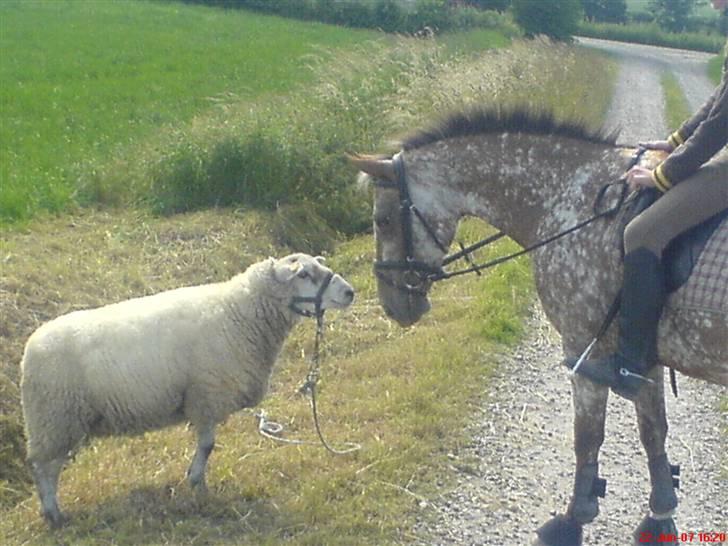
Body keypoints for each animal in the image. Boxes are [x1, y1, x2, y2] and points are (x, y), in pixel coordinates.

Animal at [20, 253, 356, 524]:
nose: (350, 292)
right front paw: (196, 482)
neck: (239, 312)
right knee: (44, 470)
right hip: (54, 419)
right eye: (304, 275)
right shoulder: (205, 395)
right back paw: (53, 514)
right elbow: (207, 446)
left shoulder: (204, 397)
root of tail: (29, 350)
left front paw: (195, 480)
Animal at [350, 108, 724, 544]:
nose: (393, 307)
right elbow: (653, 433)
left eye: (383, 220)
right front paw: (660, 515)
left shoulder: (585, 350)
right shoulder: (642, 358)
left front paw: (575, 518)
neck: (573, 201)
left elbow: (588, 437)